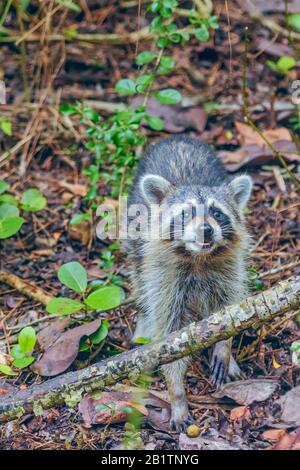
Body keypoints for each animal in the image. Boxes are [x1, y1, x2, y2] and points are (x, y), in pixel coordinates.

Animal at [124, 135, 253, 430]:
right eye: (186, 213)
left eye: (217, 213)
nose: (206, 230)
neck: (198, 258)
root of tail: (176, 137)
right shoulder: (165, 279)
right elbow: (169, 338)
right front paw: (177, 393)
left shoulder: (228, 270)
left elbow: (229, 309)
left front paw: (224, 348)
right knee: (139, 276)